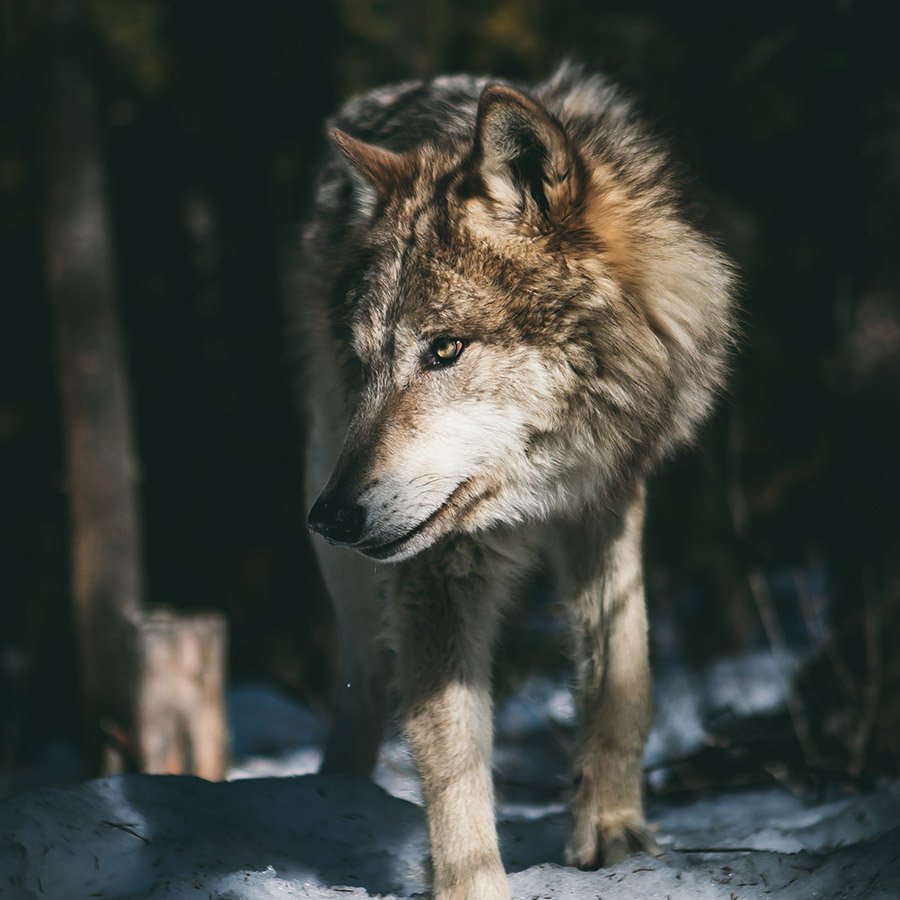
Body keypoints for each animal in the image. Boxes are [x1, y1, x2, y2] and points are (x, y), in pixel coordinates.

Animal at [295, 63, 735, 899]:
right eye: (365, 364)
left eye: (445, 349)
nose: (329, 516)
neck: (538, 483)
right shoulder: (436, 565)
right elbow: (452, 753)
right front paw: (470, 882)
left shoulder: (609, 499)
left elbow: (624, 673)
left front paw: (611, 832)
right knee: (364, 675)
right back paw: (333, 794)